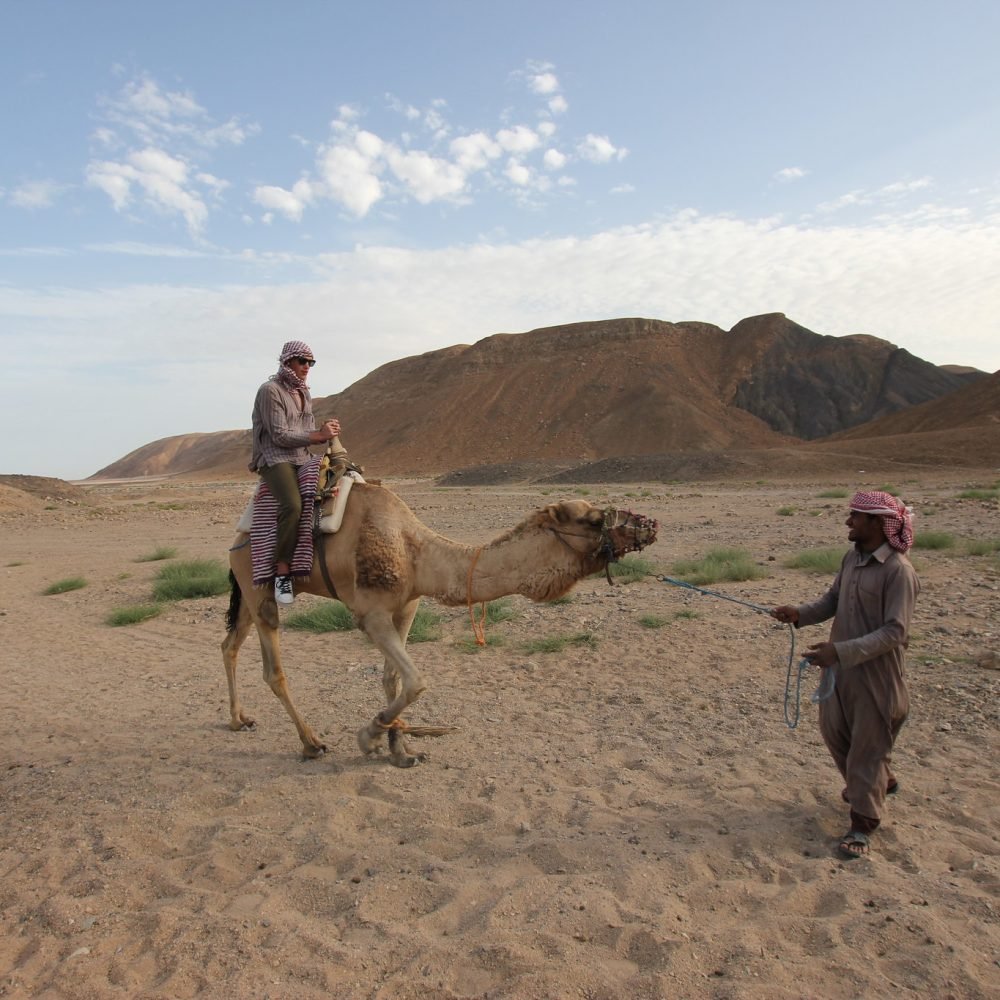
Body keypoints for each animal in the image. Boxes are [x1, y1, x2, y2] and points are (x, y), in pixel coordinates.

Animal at [224, 480, 660, 768]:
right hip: (258, 585)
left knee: (230, 643)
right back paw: (311, 743)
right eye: (594, 519)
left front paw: (401, 751)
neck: (417, 554)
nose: (650, 525)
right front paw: (369, 736)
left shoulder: (407, 606)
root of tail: (239, 531)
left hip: (246, 588)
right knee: (273, 668)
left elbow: (393, 680)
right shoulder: (370, 613)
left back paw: (239, 720)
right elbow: (417, 681)